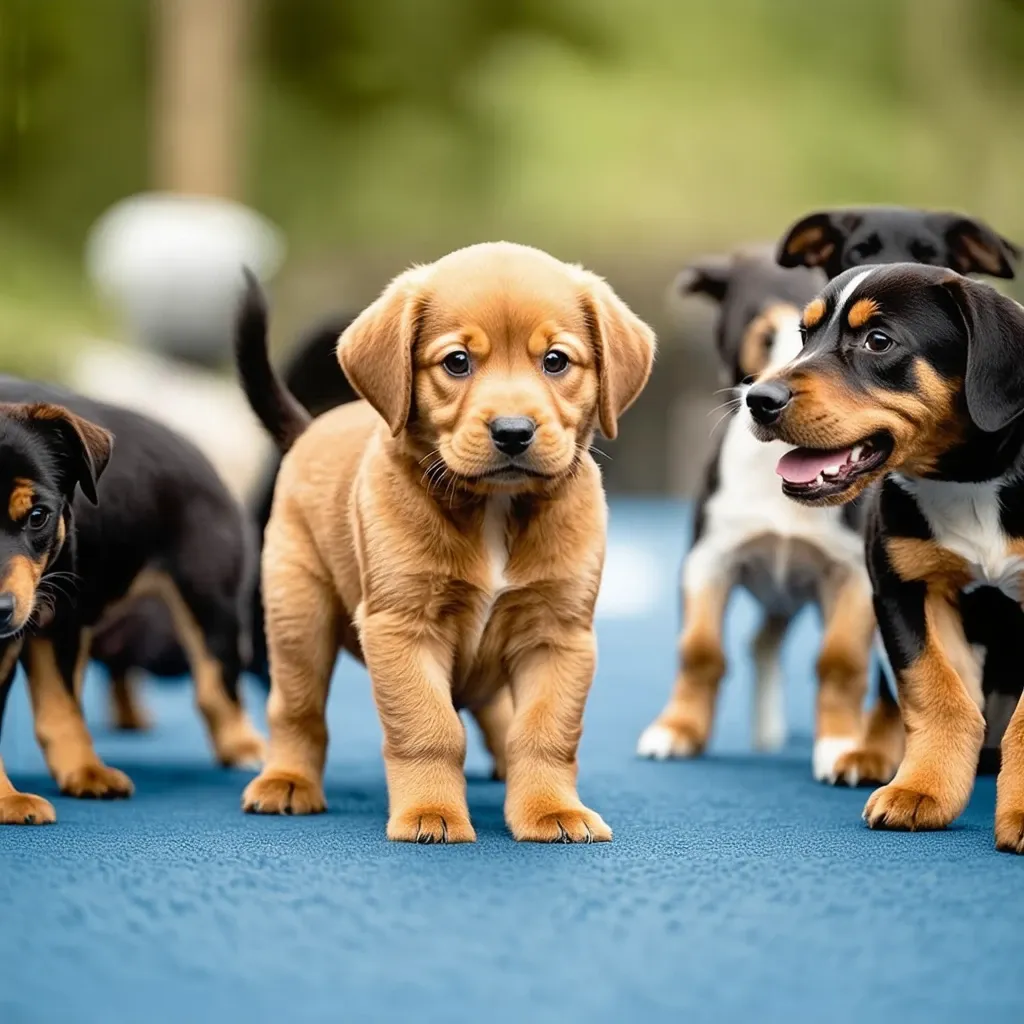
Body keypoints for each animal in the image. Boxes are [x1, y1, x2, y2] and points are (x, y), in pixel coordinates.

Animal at [0, 385, 264, 823]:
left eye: (38, 515)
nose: (1, 608)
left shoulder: (58, 619)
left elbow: (61, 708)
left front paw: (83, 773)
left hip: (209, 603)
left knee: (215, 687)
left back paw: (244, 747)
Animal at [237, 245, 655, 839]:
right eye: (457, 362)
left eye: (555, 361)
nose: (512, 431)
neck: (496, 509)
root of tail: (311, 428)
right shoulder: (404, 625)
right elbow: (427, 729)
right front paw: (430, 811)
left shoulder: (558, 635)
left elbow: (544, 732)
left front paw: (550, 809)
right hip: (299, 615)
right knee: (296, 711)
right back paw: (287, 782)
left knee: (498, 716)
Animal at [741, 262, 1024, 847]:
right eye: (805, 335)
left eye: (878, 341)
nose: (758, 399)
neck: (970, 484)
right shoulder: (903, 591)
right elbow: (937, 693)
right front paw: (923, 790)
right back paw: (868, 753)